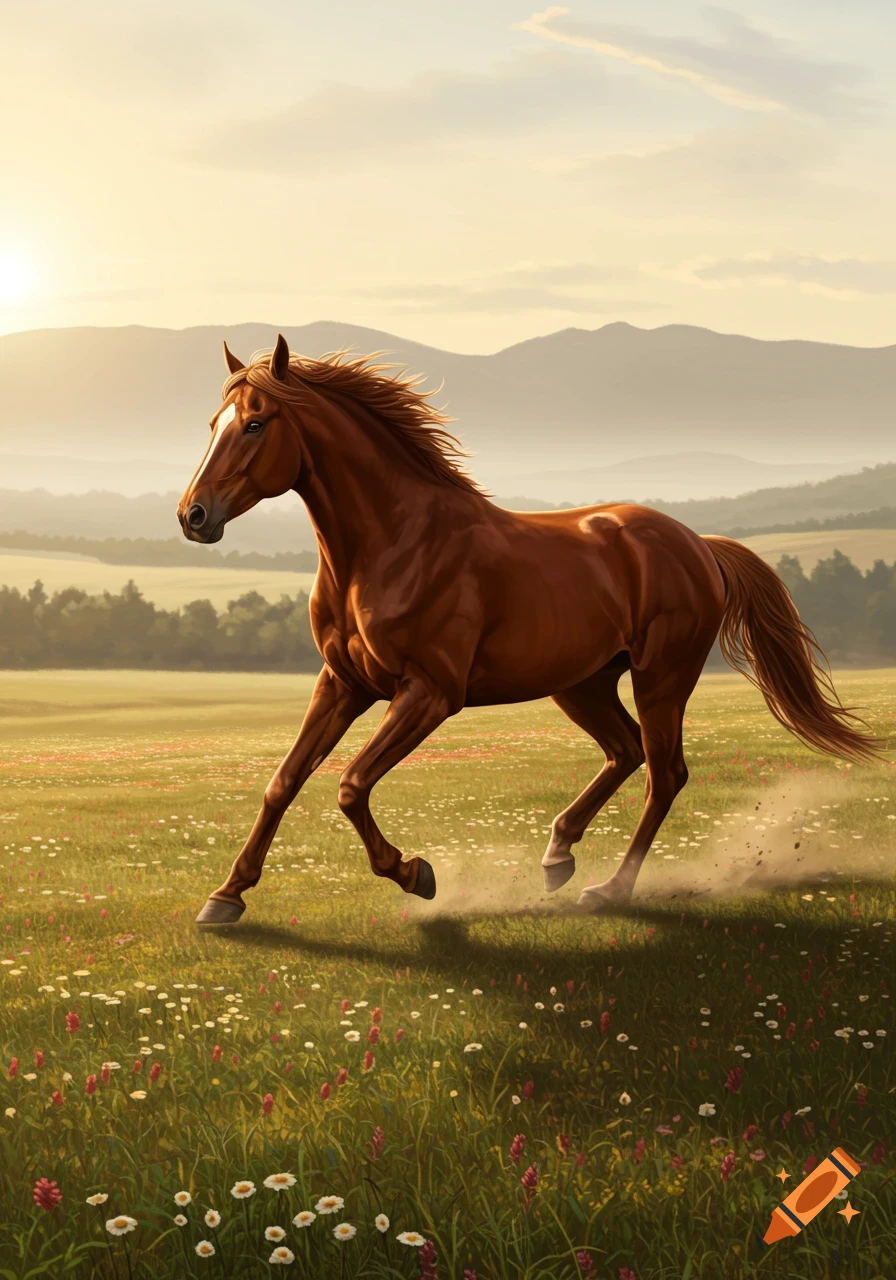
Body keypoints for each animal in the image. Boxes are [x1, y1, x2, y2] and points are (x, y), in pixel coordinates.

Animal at [177, 334, 882, 925]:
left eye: (256, 423)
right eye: (213, 424)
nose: (194, 516)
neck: (392, 543)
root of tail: (699, 545)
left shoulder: (430, 693)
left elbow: (351, 786)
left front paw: (416, 874)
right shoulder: (342, 683)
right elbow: (283, 781)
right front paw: (225, 897)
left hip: (663, 678)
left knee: (665, 772)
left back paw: (608, 889)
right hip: (582, 683)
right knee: (625, 750)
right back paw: (557, 857)